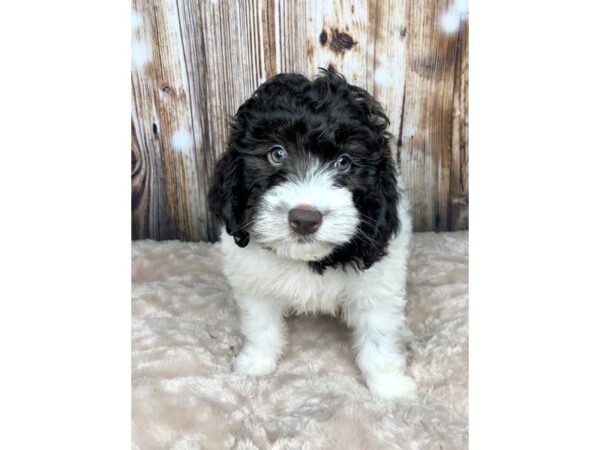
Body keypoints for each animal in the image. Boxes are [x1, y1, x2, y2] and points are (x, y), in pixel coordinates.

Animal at [209, 68, 414, 400]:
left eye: (344, 162)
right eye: (277, 154)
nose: (305, 219)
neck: (305, 259)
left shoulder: (377, 283)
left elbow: (379, 336)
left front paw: (390, 388)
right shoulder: (252, 279)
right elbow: (260, 324)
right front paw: (256, 364)